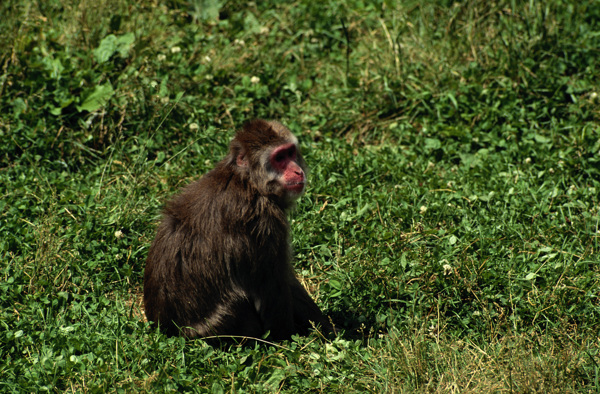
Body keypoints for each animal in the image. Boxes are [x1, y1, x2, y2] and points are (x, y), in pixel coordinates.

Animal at [144, 117, 336, 342]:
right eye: (279, 158)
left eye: (290, 153)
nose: (298, 171)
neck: (249, 181)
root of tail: (168, 329)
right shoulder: (265, 223)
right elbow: (273, 288)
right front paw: (288, 340)